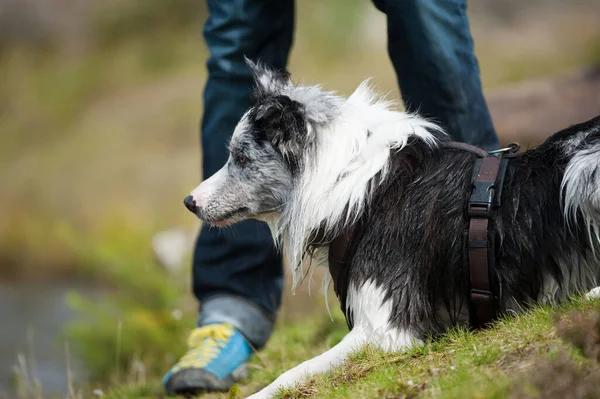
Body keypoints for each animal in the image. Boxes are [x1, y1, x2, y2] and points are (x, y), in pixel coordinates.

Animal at [186, 60, 600, 399]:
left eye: (241, 158)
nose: (190, 201)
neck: (357, 186)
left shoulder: (388, 328)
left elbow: (295, 371)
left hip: (582, 169)